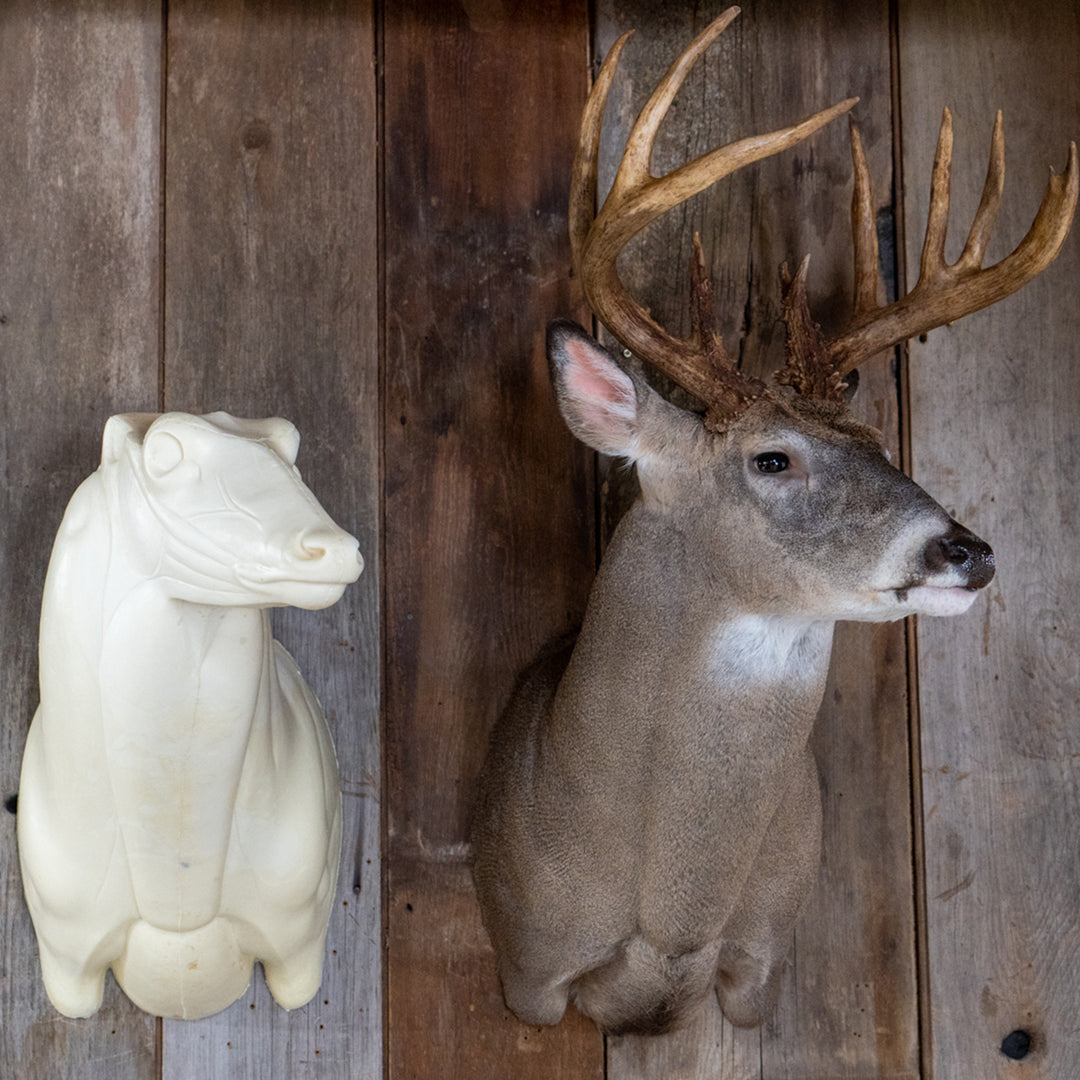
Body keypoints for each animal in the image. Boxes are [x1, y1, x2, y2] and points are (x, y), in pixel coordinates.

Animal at [472, 7, 1077, 1037]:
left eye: (880, 440)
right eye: (772, 458)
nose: (966, 550)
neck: (666, 903)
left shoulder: (756, 971)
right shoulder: (526, 973)